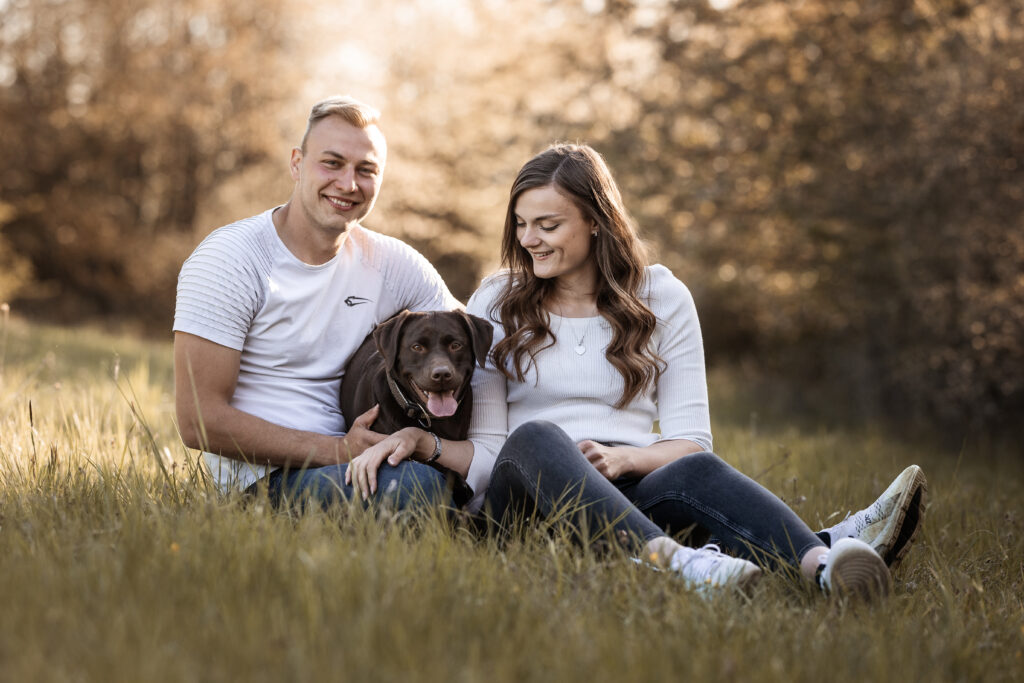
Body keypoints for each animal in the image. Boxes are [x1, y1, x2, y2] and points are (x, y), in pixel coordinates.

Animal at [337, 313, 493, 505]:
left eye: (456, 345)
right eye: (417, 347)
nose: (442, 374)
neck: (431, 419)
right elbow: (424, 462)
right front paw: (458, 482)